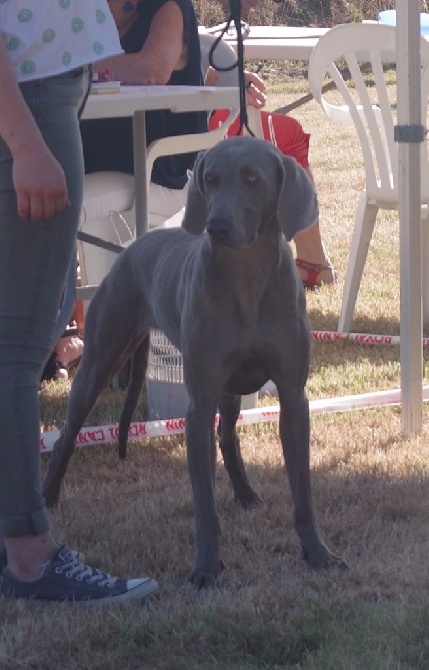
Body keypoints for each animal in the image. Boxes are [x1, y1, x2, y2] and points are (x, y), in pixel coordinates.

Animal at [42, 136, 344, 588]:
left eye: (252, 179)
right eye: (210, 179)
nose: (216, 226)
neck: (246, 278)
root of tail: (134, 245)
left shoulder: (293, 399)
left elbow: (302, 491)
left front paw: (317, 553)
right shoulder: (198, 407)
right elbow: (204, 502)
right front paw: (205, 567)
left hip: (229, 387)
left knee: (229, 437)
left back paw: (245, 494)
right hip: (99, 359)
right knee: (67, 434)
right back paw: (47, 498)